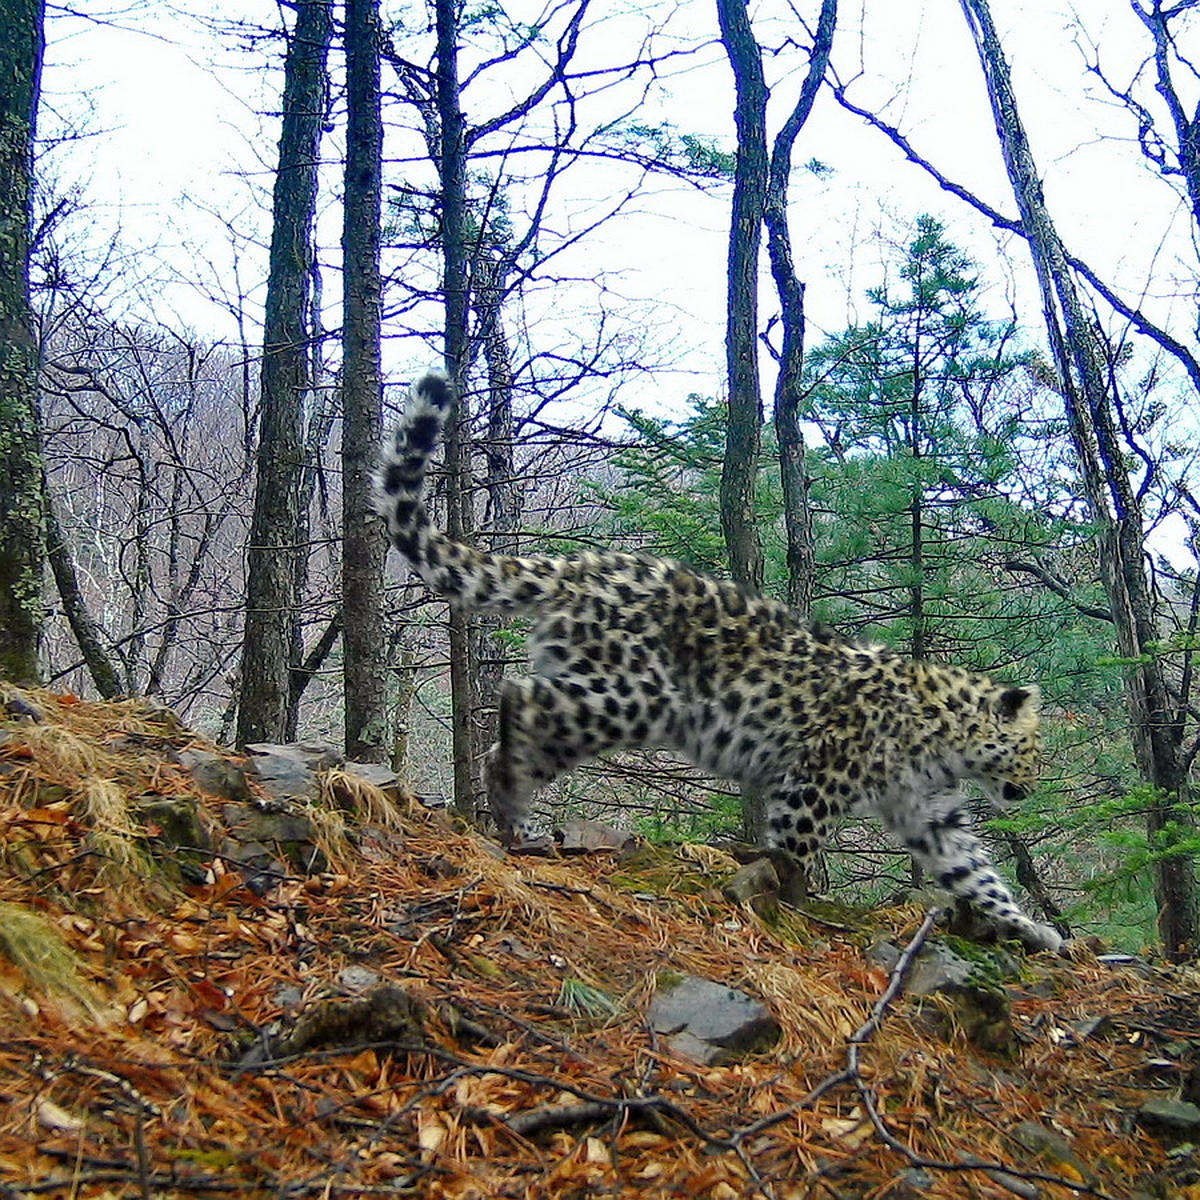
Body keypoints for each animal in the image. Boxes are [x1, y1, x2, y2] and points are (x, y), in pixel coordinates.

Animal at [372, 369, 1060, 950]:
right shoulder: (816, 780)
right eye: (1031, 750)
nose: (1027, 790)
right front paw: (790, 902)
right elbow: (796, 847)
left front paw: (1030, 929)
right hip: (635, 695)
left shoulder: (932, 813)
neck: (945, 738)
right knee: (523, 699)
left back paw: (513, 811)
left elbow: (977, 874)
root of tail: (581, 566)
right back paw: (511, 797)